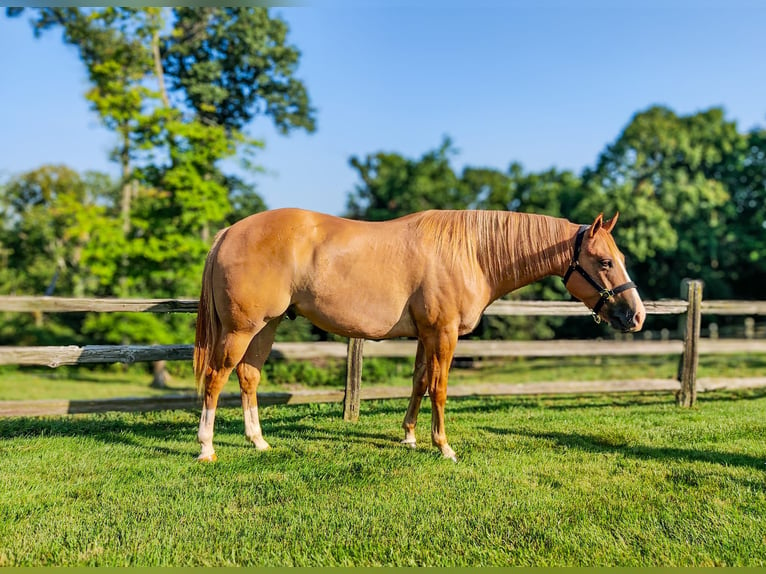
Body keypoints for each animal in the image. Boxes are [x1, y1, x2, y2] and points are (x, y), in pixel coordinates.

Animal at [192, 207, 640, 464]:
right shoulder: (443, 334)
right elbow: (439, 388)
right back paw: (206, 448)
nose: (636, 315)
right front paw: (444, 447)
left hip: (265, 327)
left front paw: (408, 437)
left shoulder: (426, 335)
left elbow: (419, 382)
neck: (472, 252)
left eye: (620, 258)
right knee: (215, 379)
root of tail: (229, 232)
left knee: (248, 377)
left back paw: (258, 442)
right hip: (240, 330)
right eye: (603, 262)